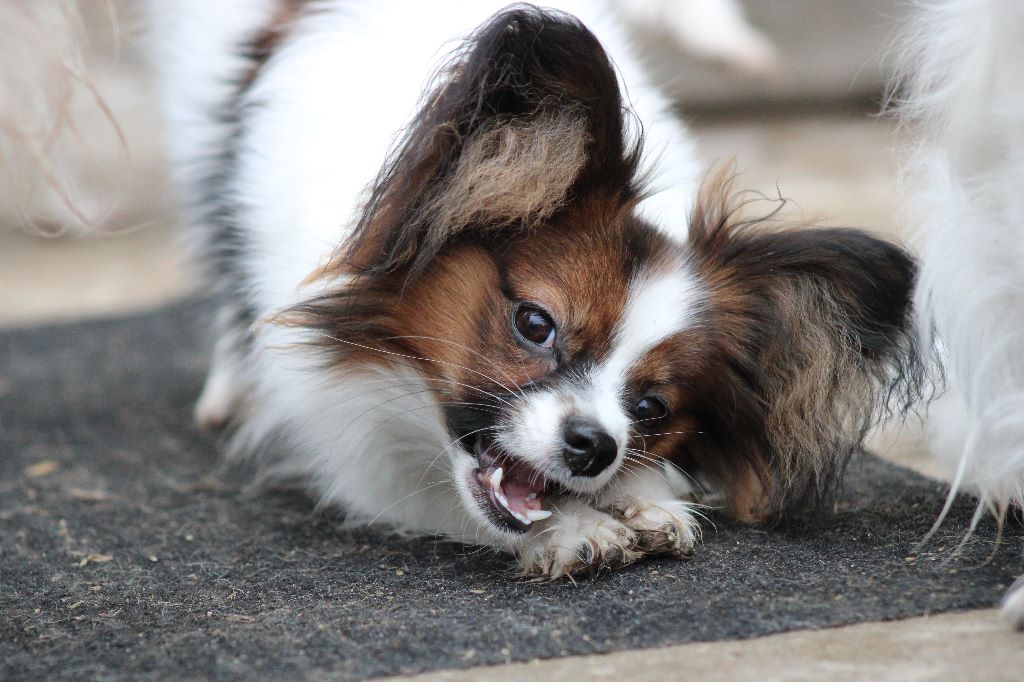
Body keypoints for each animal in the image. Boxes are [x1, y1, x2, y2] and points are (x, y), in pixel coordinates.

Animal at [146, 0, 921, 577]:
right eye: (534, 324)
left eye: (652, 407)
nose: (594, 446)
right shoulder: (347, 439)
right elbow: (444, 497)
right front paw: (571, 529)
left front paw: (644, 496)